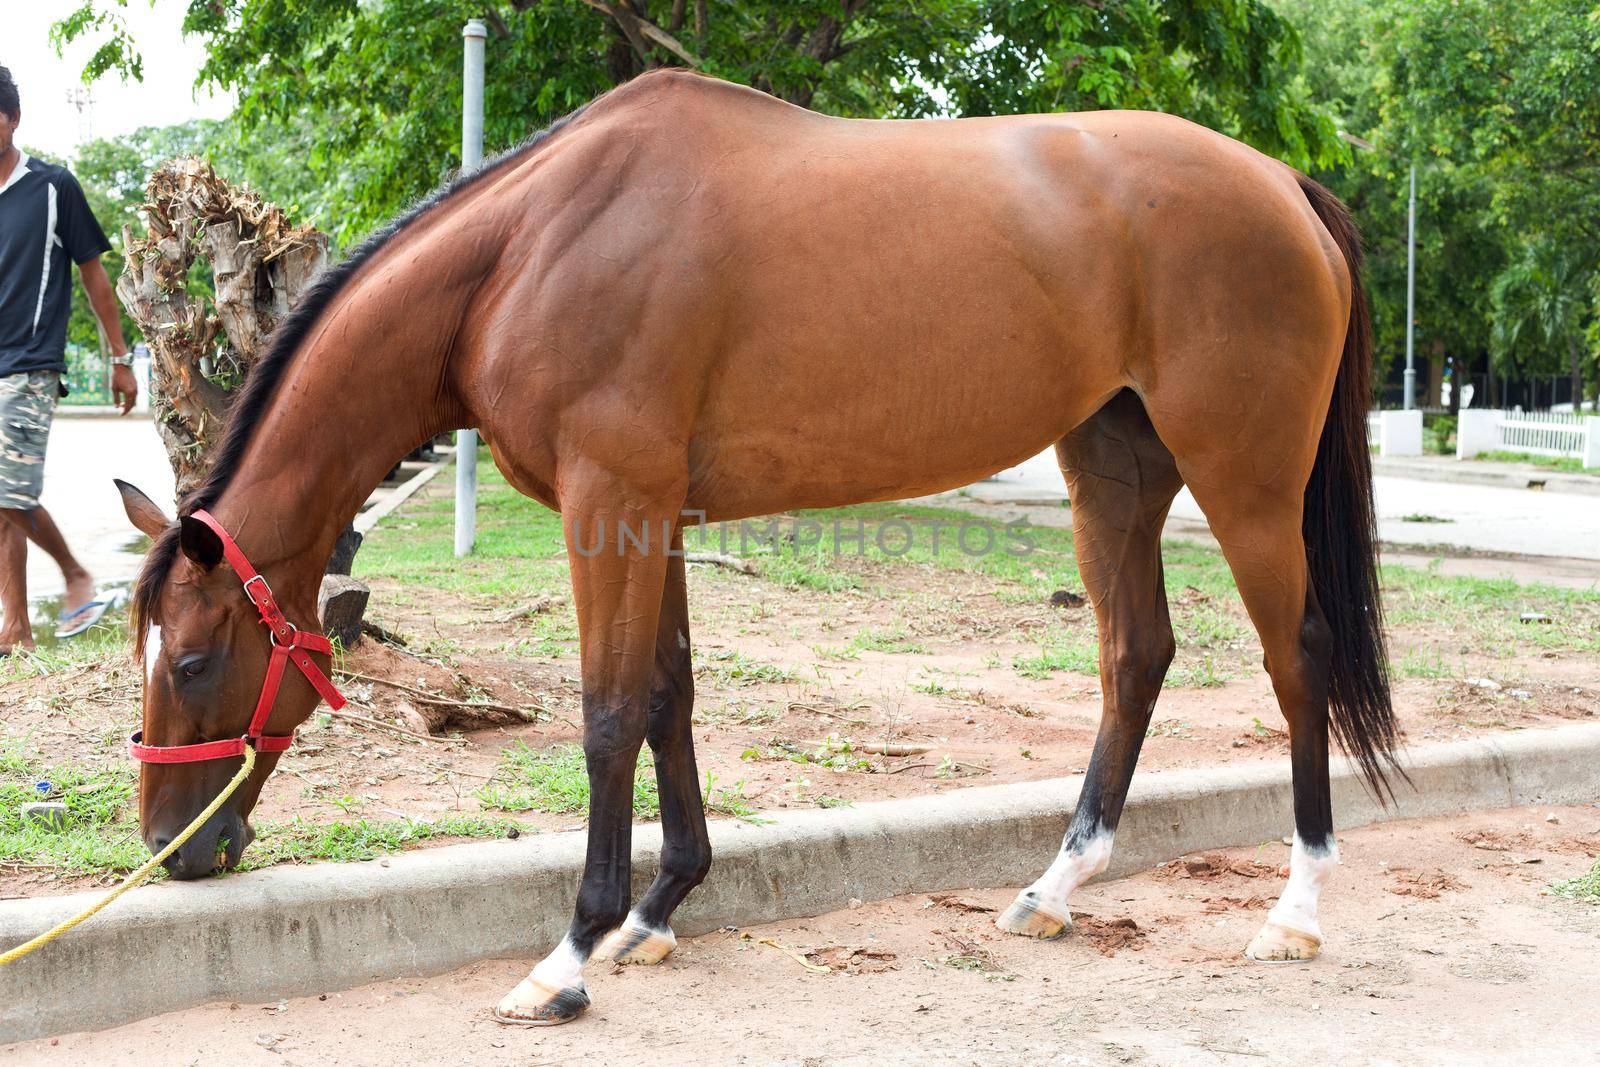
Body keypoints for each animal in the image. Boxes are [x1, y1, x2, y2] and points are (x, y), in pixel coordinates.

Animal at [116, 73, 1388, 1023]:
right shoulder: (649, 512)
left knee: (1297, 656)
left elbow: (606, 712)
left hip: (1245, 479)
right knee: (1135, 654)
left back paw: (1296, 908)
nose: (172, 847)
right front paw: (655, 910)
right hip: (1113, 467)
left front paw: (569, 952)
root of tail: (1279, 181)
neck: (529, 250)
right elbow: (667, 693)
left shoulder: (608, 498)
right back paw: (1054, 885)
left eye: (193, 659)